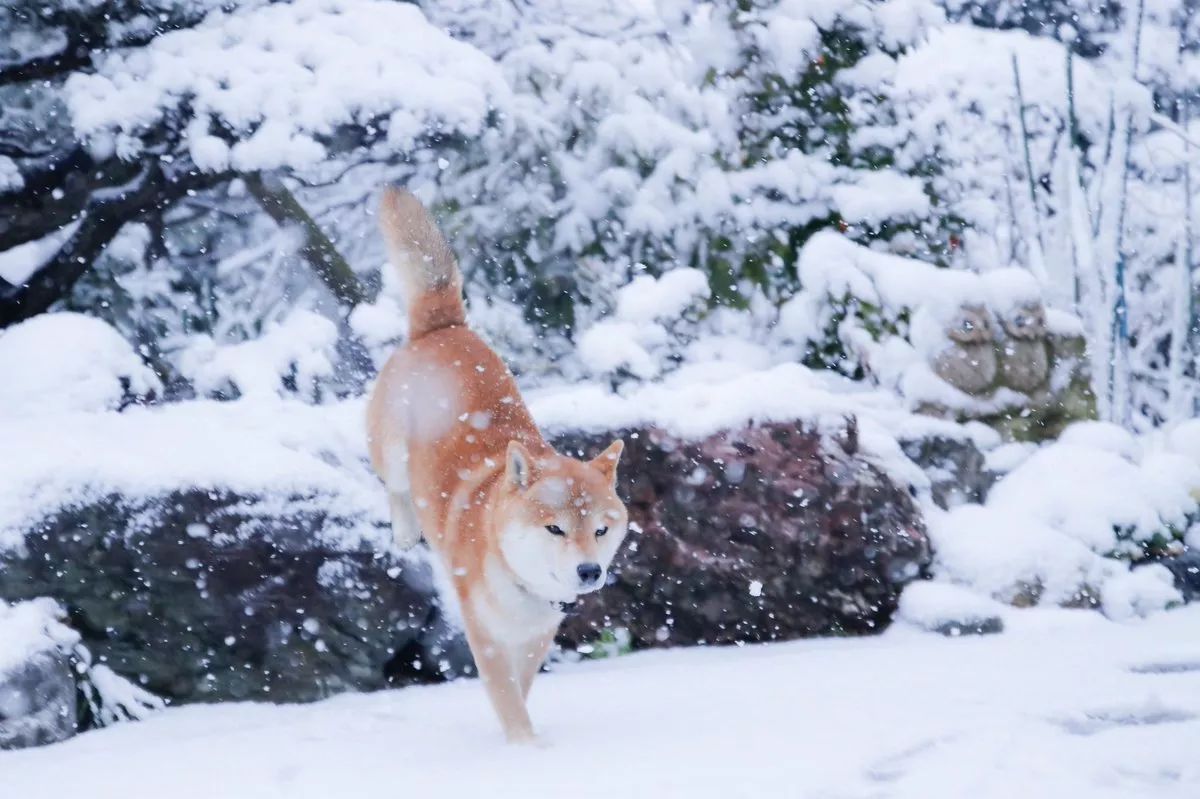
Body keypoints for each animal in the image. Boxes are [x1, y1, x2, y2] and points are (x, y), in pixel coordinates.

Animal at [364, 184, 628, 739]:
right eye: (555, 529)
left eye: (600, 530)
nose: (589, 571)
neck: (518, 579)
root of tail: (443, 327)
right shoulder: (483, 632)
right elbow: (506, 697)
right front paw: (525, 749)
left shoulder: (537, 634)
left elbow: (520, 691)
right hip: (390, 451)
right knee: (394, 486)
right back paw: (405, 531)